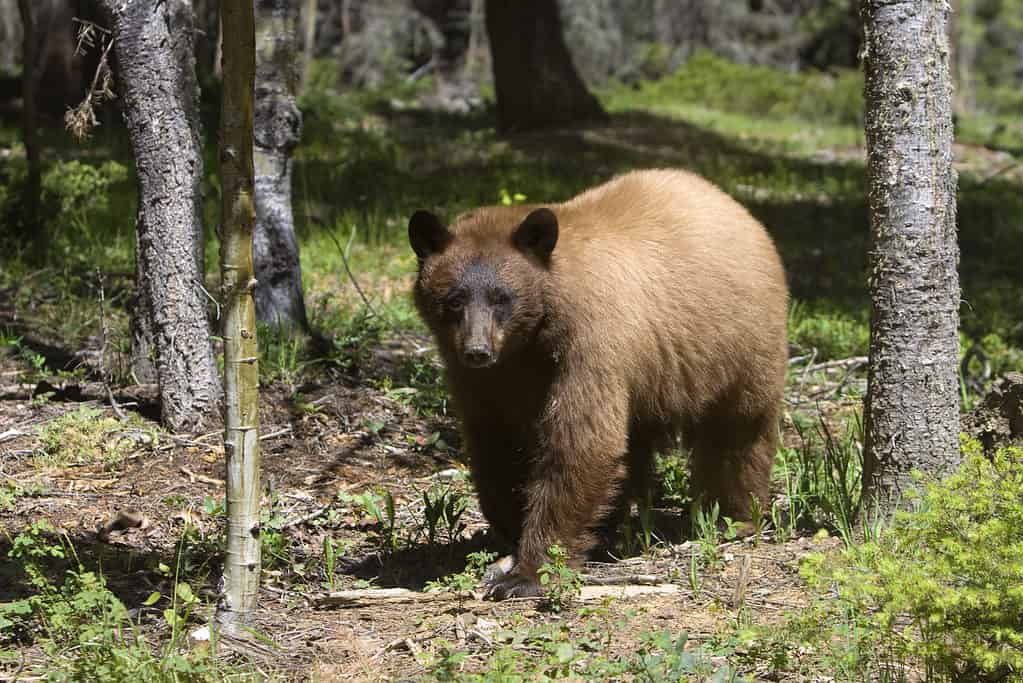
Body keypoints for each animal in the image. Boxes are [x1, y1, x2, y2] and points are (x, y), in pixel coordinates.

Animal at [409, 169, 789, 597]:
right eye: (454, 298)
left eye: (501, 297)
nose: (477, 350)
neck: (533, 339)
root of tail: (737, 208)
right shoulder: (485, 378)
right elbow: (497, 444)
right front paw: (509, 535)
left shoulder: (591, 342)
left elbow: (581, 443)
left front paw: (528, 572)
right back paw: (612, 529)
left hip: (740, 346)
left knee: (737, 433)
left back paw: (732, 517)